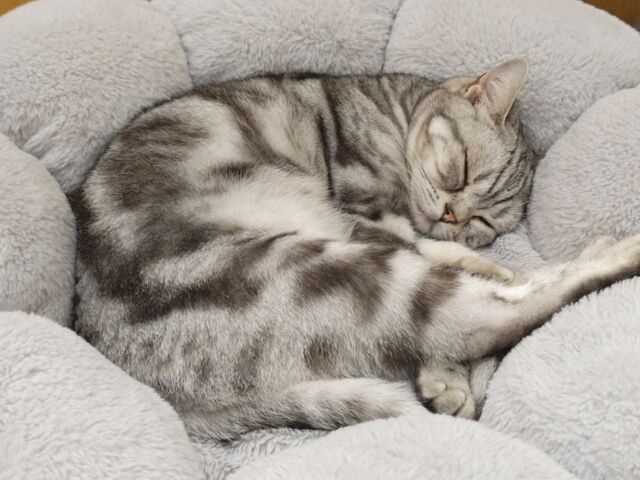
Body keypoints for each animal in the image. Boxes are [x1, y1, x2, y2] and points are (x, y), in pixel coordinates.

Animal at [72, 57, 640, 440]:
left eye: (482, 220)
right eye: (458, 173)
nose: (452, 216)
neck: (393, 111)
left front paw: (446, 378)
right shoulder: (364, 214)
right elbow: (434, 252)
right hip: (337, 271)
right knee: (487, 315)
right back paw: (613, 251)